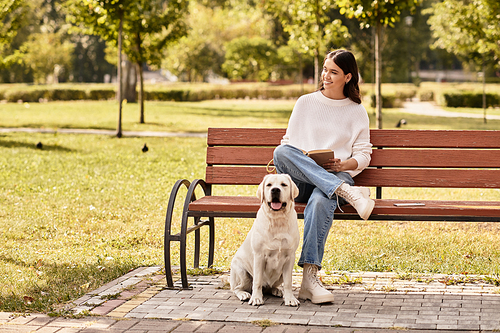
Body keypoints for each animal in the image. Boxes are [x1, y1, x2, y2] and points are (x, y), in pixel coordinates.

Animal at [231, 172, 300, 304]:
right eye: (269, 185)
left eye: (284, 185)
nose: (275, 190)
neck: (277, 221)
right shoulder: (259, 256)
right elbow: (257, 281)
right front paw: (256, 298)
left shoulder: (290, 257)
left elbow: (288, 282)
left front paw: (290, 298)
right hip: (241, 271)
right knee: (236, 288)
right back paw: (244, 294)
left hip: (280, 275)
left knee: (271, 286)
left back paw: (277, 291)